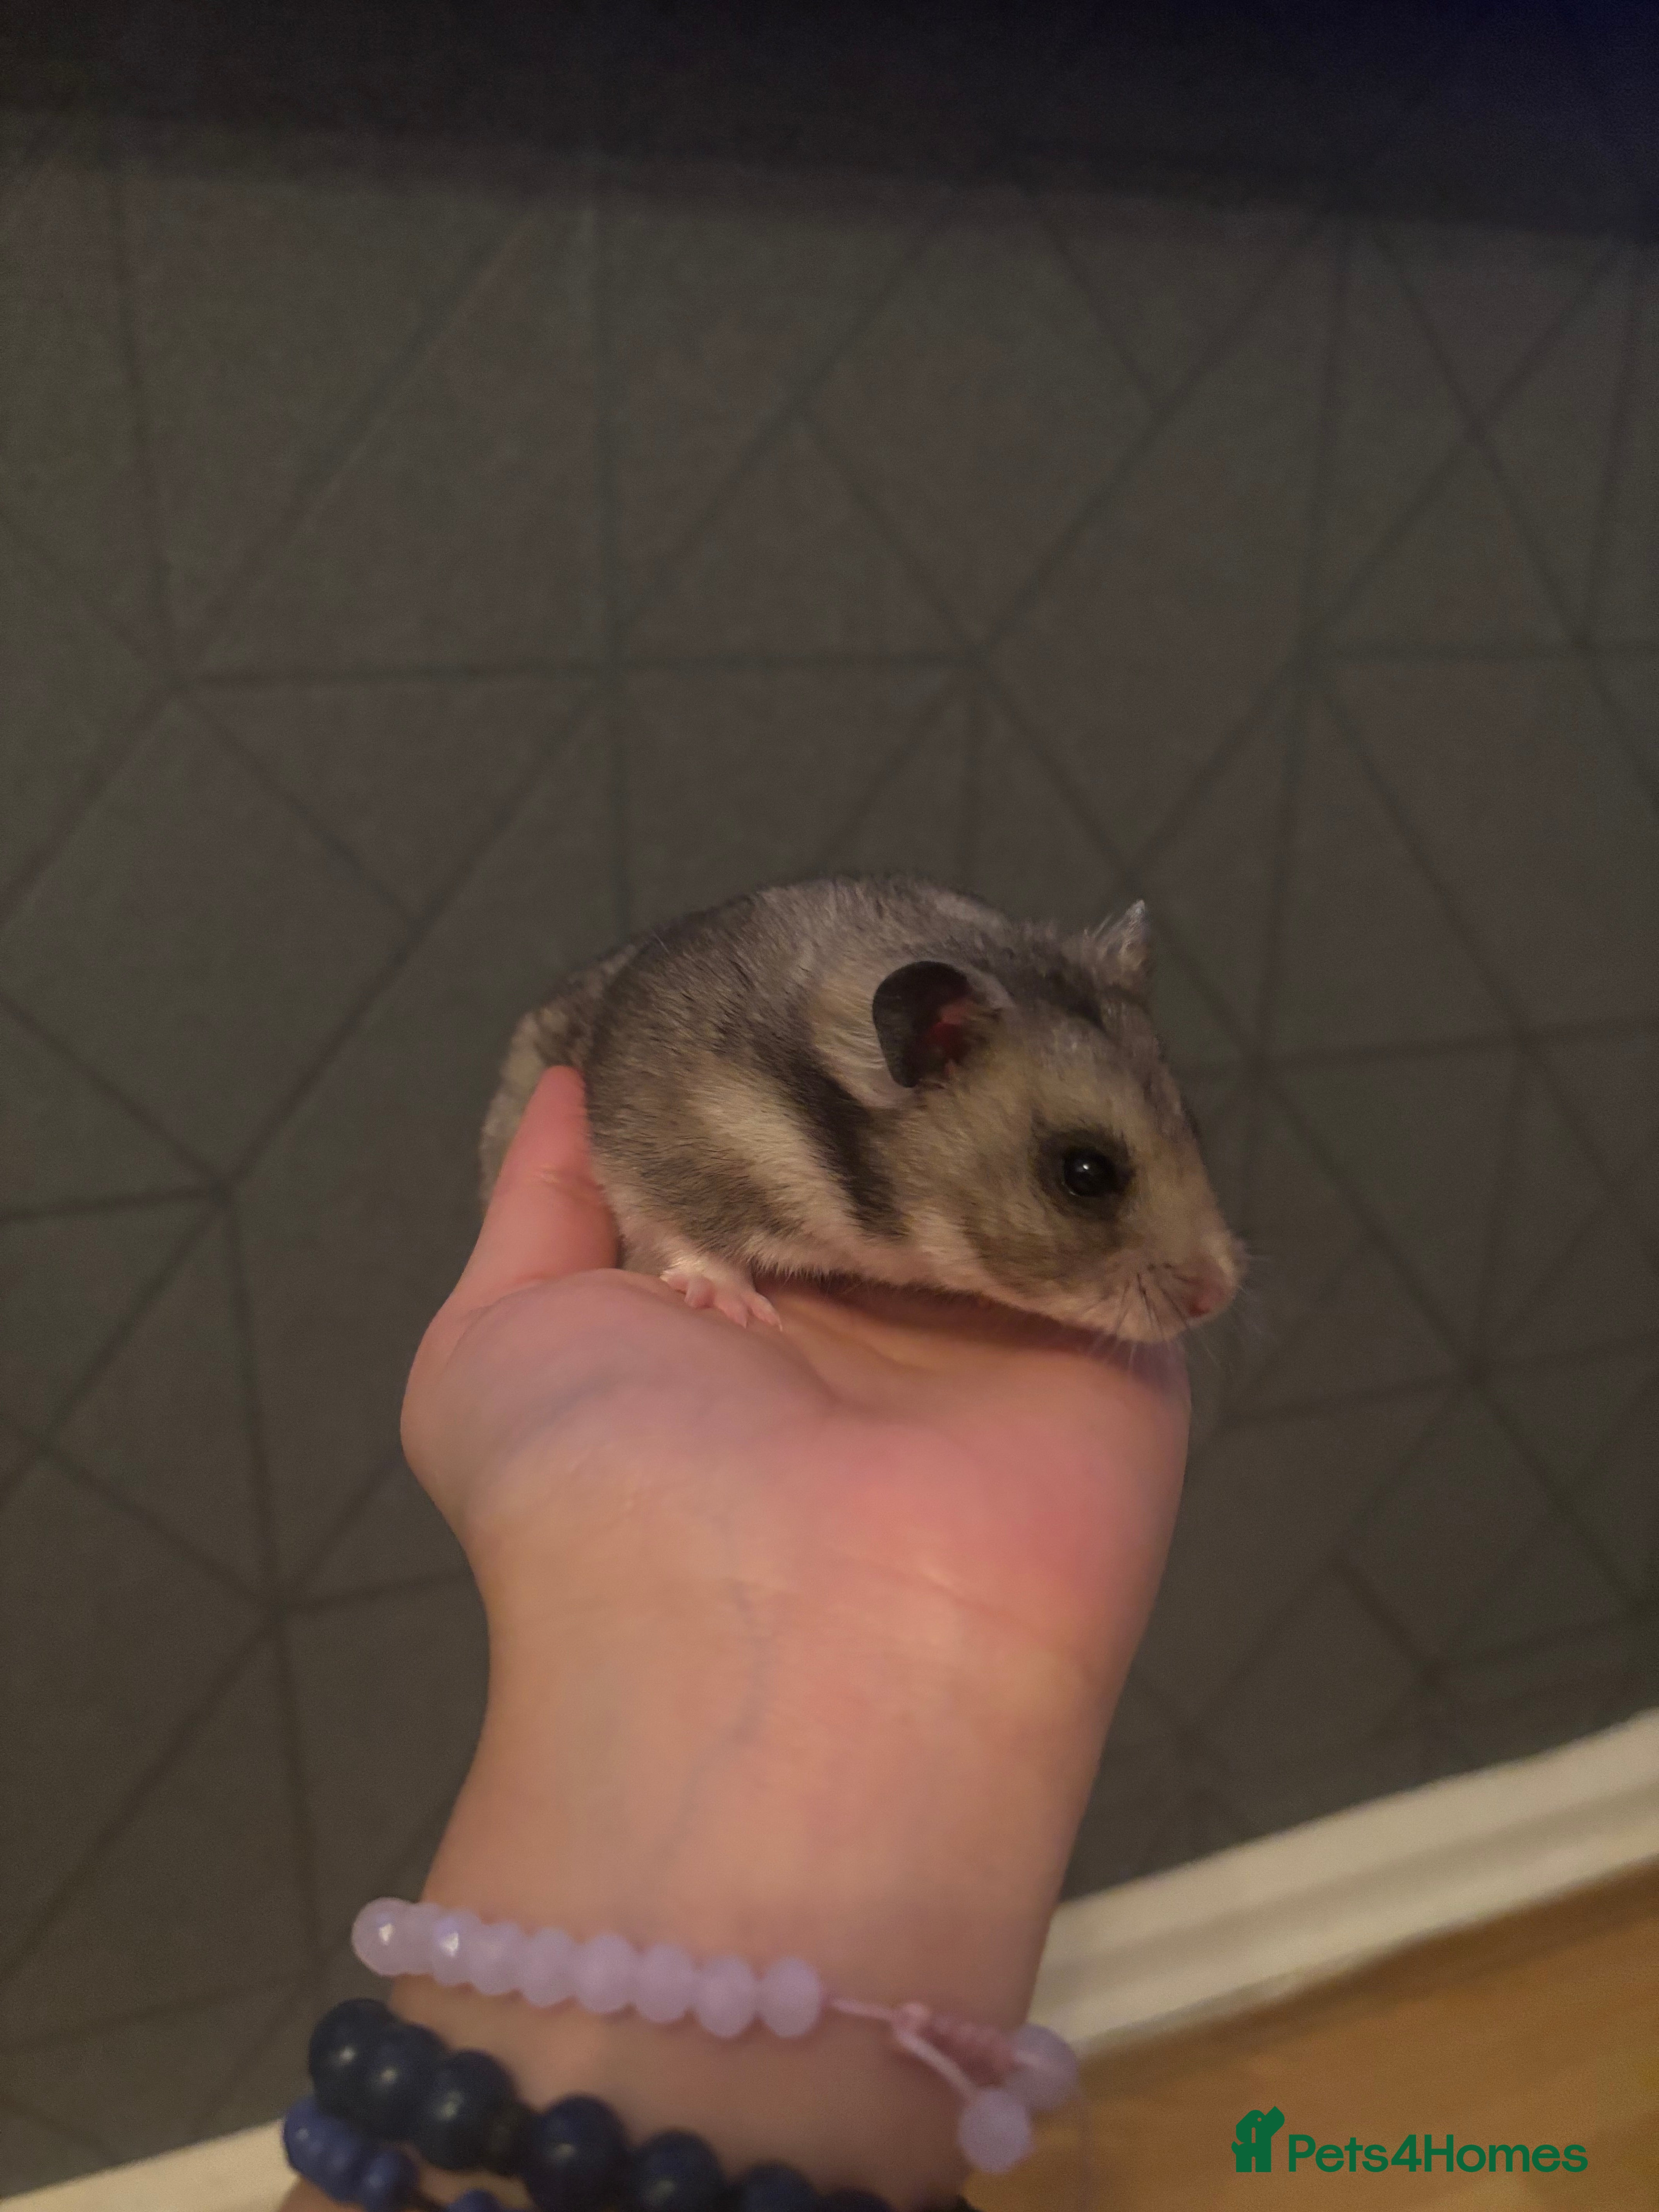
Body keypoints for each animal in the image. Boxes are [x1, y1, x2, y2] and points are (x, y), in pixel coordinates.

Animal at [480, 875, 1244, 1341]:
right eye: (1084, 1173)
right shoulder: (667, 1138)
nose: (1219, 1298)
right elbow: (688, 1232)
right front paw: (738, 1308)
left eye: (1192, 1125)